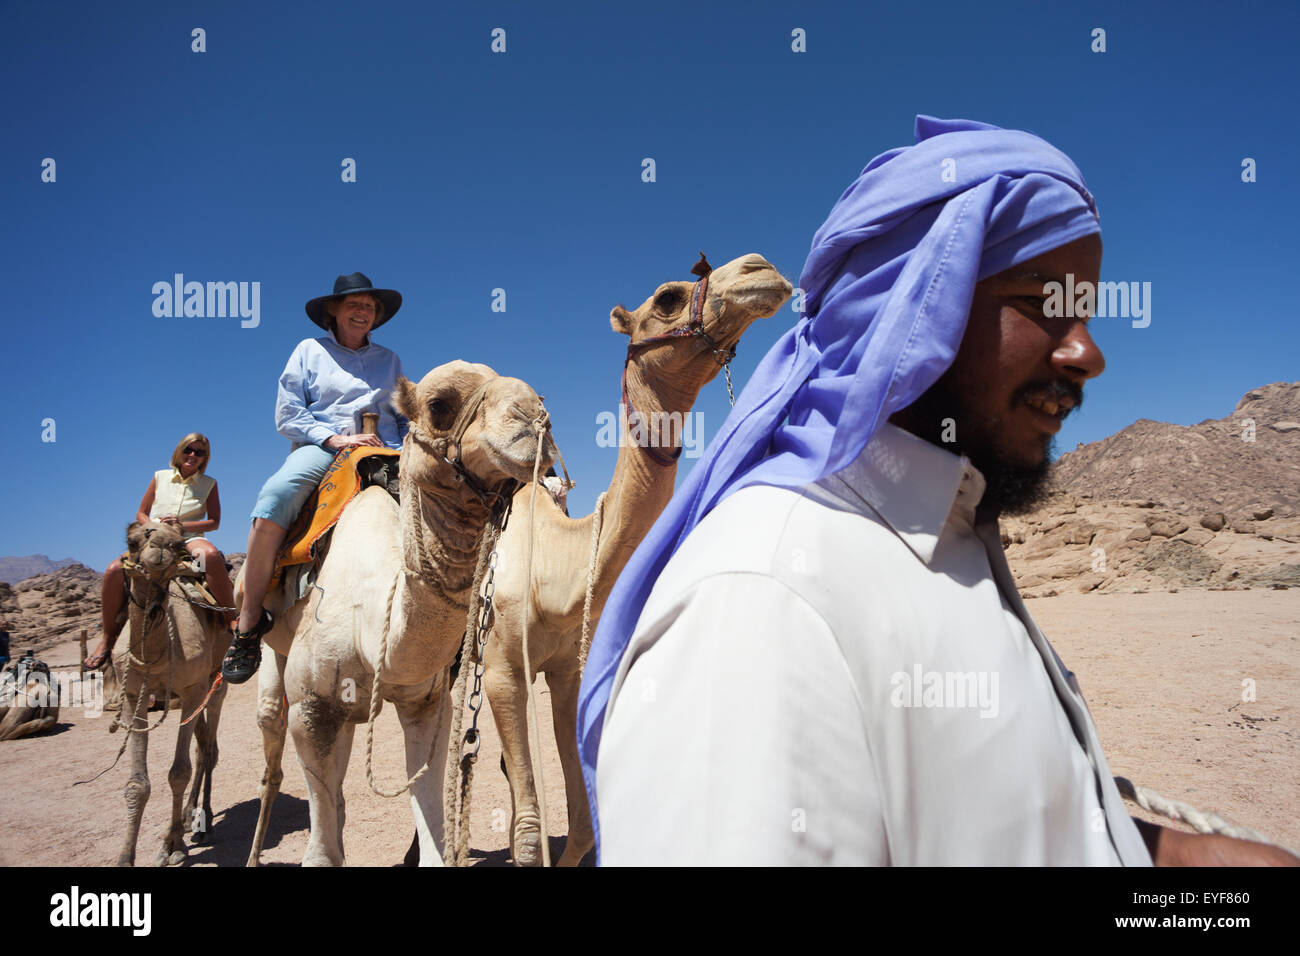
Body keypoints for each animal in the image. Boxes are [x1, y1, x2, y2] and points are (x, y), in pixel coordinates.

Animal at [111, 520, 231, 868]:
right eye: (131, 541)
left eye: (178, 543)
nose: (159, 552)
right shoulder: (133, 695)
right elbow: (137, 783)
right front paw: (125, 856)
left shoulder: (193, 689)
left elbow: (179, 771)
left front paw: (173, 844)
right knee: (202, 743)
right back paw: (191, 814)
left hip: (215, 681)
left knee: (209, 749)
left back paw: (203, 820)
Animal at [244, 361, 553, 868]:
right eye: (439, 405)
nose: (535, 419)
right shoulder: (311, 708)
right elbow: (319, 853)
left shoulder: (426, 702)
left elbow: (430, 834)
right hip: (275, 648)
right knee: (272, 735)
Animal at [488, 251, 790, 863]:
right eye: (668, 297)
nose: (761, 268)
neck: (556, 569)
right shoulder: (501, 668)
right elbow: (531, 831)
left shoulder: (567, 669)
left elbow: (583, 818)